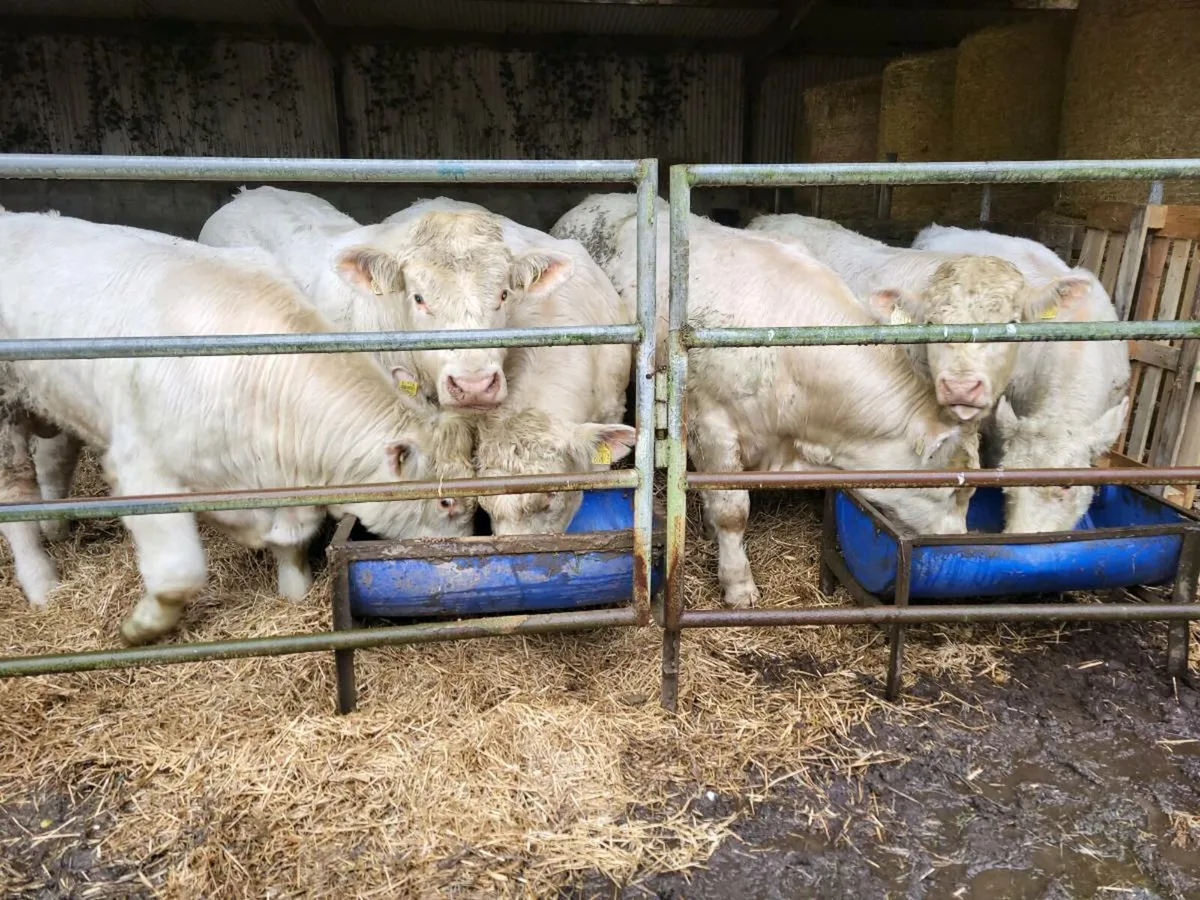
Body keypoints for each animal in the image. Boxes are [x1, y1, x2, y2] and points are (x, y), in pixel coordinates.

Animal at [0, 212, 477, 644]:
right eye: (446, 502)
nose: (461, 563)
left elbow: (292, 541)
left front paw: (293, 592)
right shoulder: (142, 470)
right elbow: (178, 571)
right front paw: (139, 628)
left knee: (55, 456)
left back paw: (56, 527)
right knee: (16, 493)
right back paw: (43, 584)